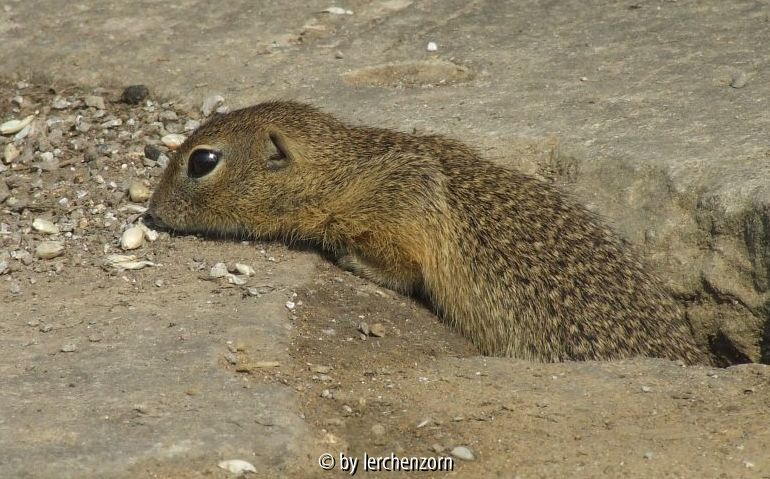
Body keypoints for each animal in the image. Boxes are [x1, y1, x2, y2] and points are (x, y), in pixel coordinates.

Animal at [147, 101, 704, 364]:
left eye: (203, 161)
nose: (150, 210)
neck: (345, 169)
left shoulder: (405, 206)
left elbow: (402, 270)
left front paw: (353, 259)